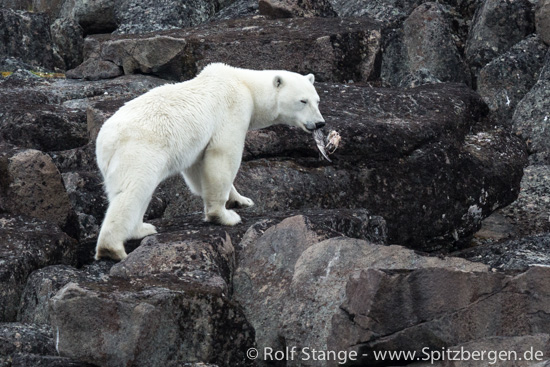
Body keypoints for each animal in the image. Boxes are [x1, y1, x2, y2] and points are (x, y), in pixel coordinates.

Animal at [95, 63, 326, 262]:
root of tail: (104, 140)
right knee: (132, 190)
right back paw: (112, 248)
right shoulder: (233, 110)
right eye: (302, 101)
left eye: (317, 100)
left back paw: (142, 229)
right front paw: (224, 215)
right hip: (140, 149)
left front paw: (241, 200)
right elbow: (223, 155)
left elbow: (198, 168)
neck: (246, 85)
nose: (320, 123)